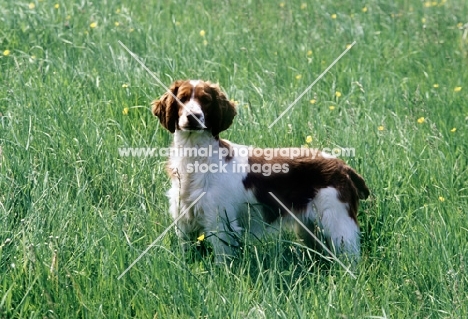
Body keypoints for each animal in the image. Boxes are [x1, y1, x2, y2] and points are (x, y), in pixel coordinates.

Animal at [154, 79, 370, 262]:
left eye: (206, 100)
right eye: (182, 99)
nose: (193, 116)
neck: (196, 158)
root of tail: (343, 166)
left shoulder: (220, 222)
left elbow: (222, 259)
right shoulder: (184, 223)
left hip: (338, 225)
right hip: (310, 230)